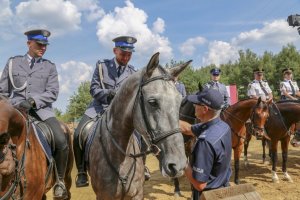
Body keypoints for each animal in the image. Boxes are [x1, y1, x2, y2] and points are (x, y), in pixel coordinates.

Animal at [86, 52, 190, 199]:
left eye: (180, 102)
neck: (120, 155)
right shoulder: (104, 196)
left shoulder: (137, 193)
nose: (179, 164)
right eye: (152, 102)